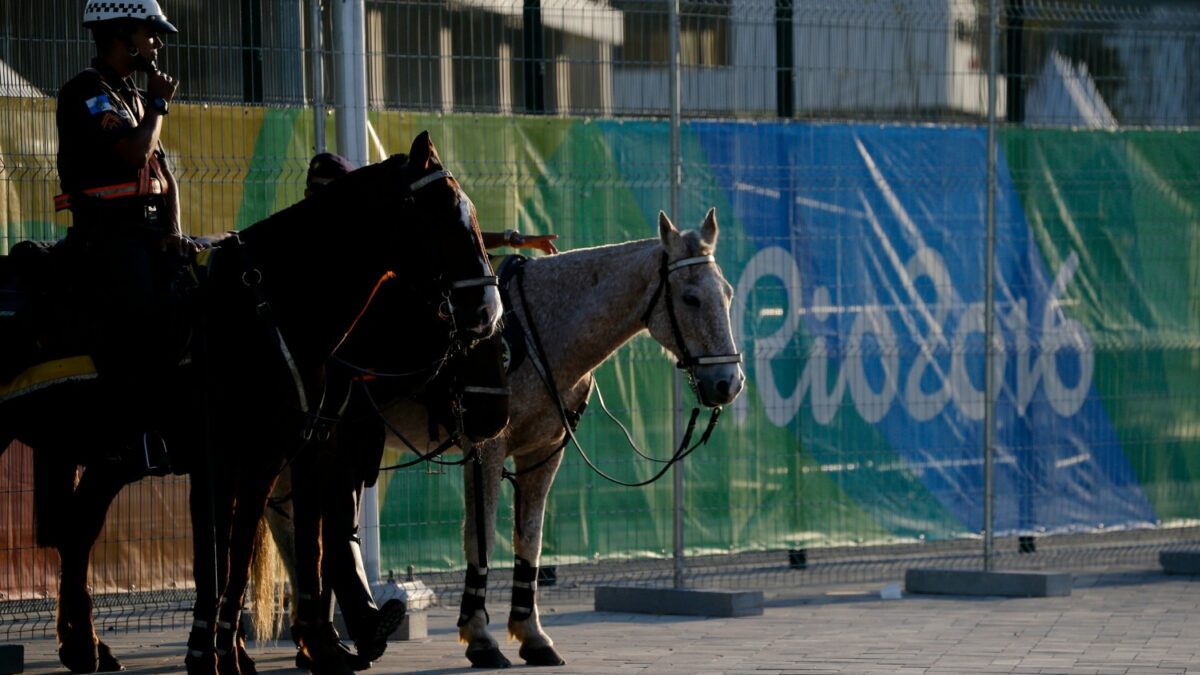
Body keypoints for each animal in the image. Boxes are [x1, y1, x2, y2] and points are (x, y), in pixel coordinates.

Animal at [0, 131, 504, 672]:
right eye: (443, 216)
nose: (487, 312)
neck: (270, 310)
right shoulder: (228, 459)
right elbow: (224, 554)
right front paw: (211, 652)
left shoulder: (273, 455)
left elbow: (251, 550)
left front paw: (242, 649)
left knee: (79, 530)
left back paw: (85, 645)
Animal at [267, 207, 744, 662]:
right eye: (691, 297)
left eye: (728, 294)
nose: (728, 383)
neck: (538, 332)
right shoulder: (486, 450)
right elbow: (478, 540)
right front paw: (480, 637)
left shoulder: (544, 454)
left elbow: (529, 542)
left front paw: (532, 634)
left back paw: (317, 637)